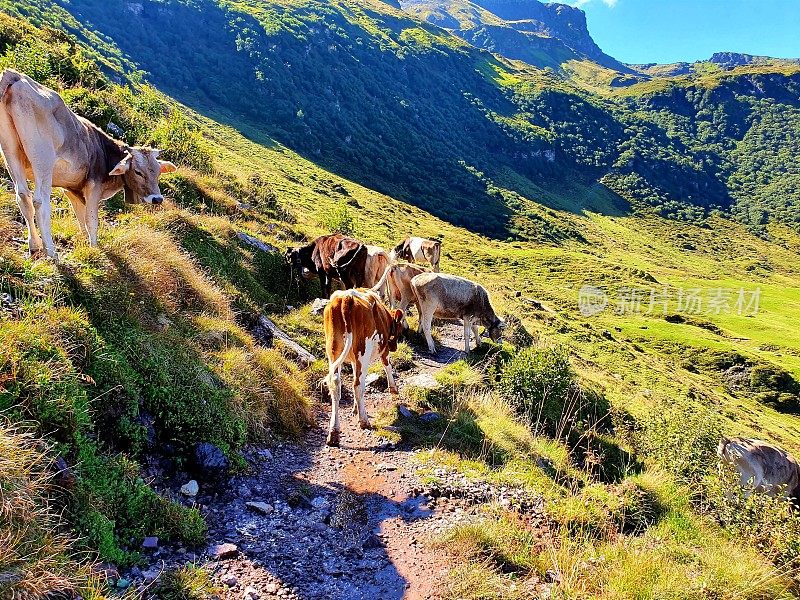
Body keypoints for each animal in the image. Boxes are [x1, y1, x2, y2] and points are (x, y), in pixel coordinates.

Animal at [0, 69, 177, 258]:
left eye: (158, 172)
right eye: (137, 171)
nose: (157, 199)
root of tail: (15, 75)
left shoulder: (71, 189)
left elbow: (80, 217)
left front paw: (84, 242)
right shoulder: (93, 186)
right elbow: (92, 220)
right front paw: (94, 247)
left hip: (10, 151)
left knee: (22, 195)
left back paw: (34, 245)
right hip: (42, 157)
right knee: (40, 201)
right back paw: (51, 252)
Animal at [320, 288, 404, 448]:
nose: (395, 347)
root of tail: (346, 297)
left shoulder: (353, 360)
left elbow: (354, 374)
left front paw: (354, 408)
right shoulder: (384, 350)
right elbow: (387, 365)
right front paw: (394, 389)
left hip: (333, 350)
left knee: (336, 385)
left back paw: (333, 433)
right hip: (362, 351)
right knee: (358, 385)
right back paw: (364, 421)